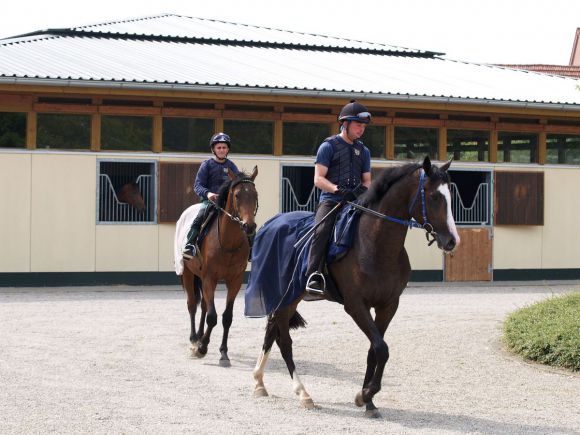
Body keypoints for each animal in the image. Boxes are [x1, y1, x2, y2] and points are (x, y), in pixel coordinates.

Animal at [179, 167, 256, 368]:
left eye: (255, 195)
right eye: (237, 195)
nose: (249, 226)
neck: (228, 242)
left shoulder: (235, 280)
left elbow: (226, 317)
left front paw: (223, 353)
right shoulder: (209, 278)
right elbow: (212, 317)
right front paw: (202, 349)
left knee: (204, 306)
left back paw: (199, 337)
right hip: (188, 274)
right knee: (192, 305)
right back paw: (194, 340)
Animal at [251, 158, 460, 418]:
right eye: (433, 197)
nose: (451, 240)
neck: (376, 246)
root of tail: (270, 225)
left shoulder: (388, 306)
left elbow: (375, 350)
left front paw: (368, 401)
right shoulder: (355, 305)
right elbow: (381, 348)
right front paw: (365, 395)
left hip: (290, 296)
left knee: (272, 333)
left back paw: (259, 382)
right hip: (284, 297)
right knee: (284, 341)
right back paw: (303, 394)